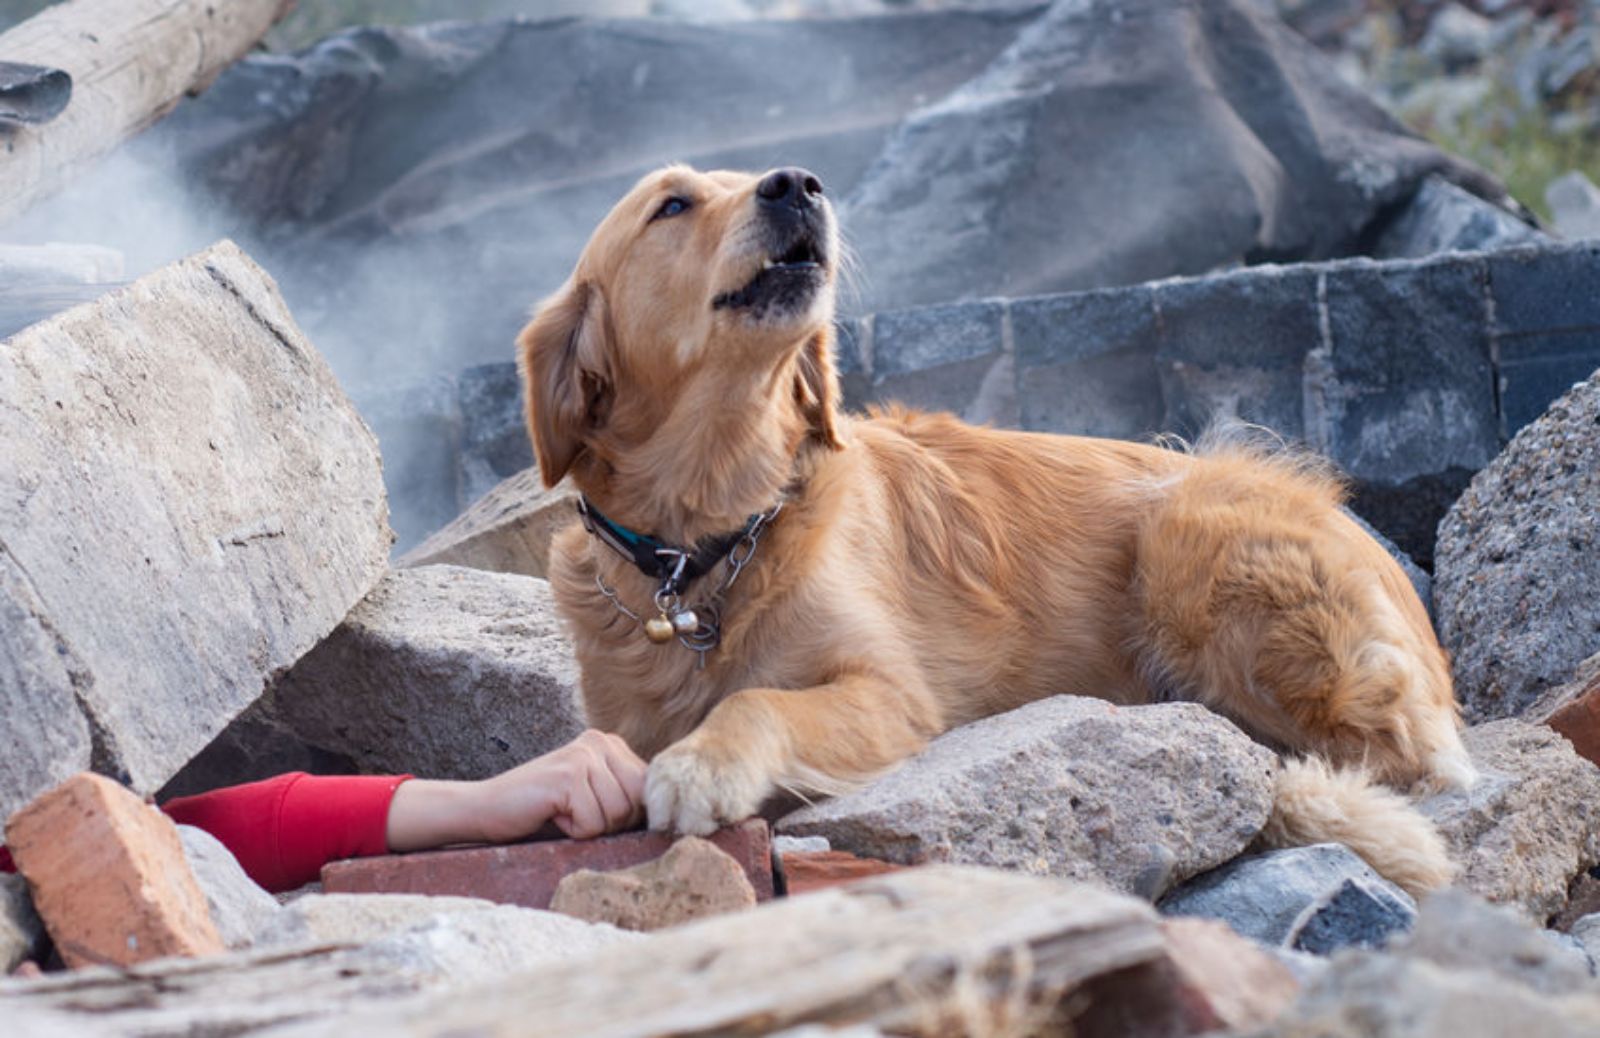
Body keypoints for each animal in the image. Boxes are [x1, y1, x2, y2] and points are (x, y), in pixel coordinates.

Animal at [521, 161, 1472, 889]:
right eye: (672, 206)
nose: (796, 184)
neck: (707, 543)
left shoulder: (896, 695)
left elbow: (757, 699)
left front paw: (703, 764)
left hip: (1187, 532)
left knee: (1393, 759)